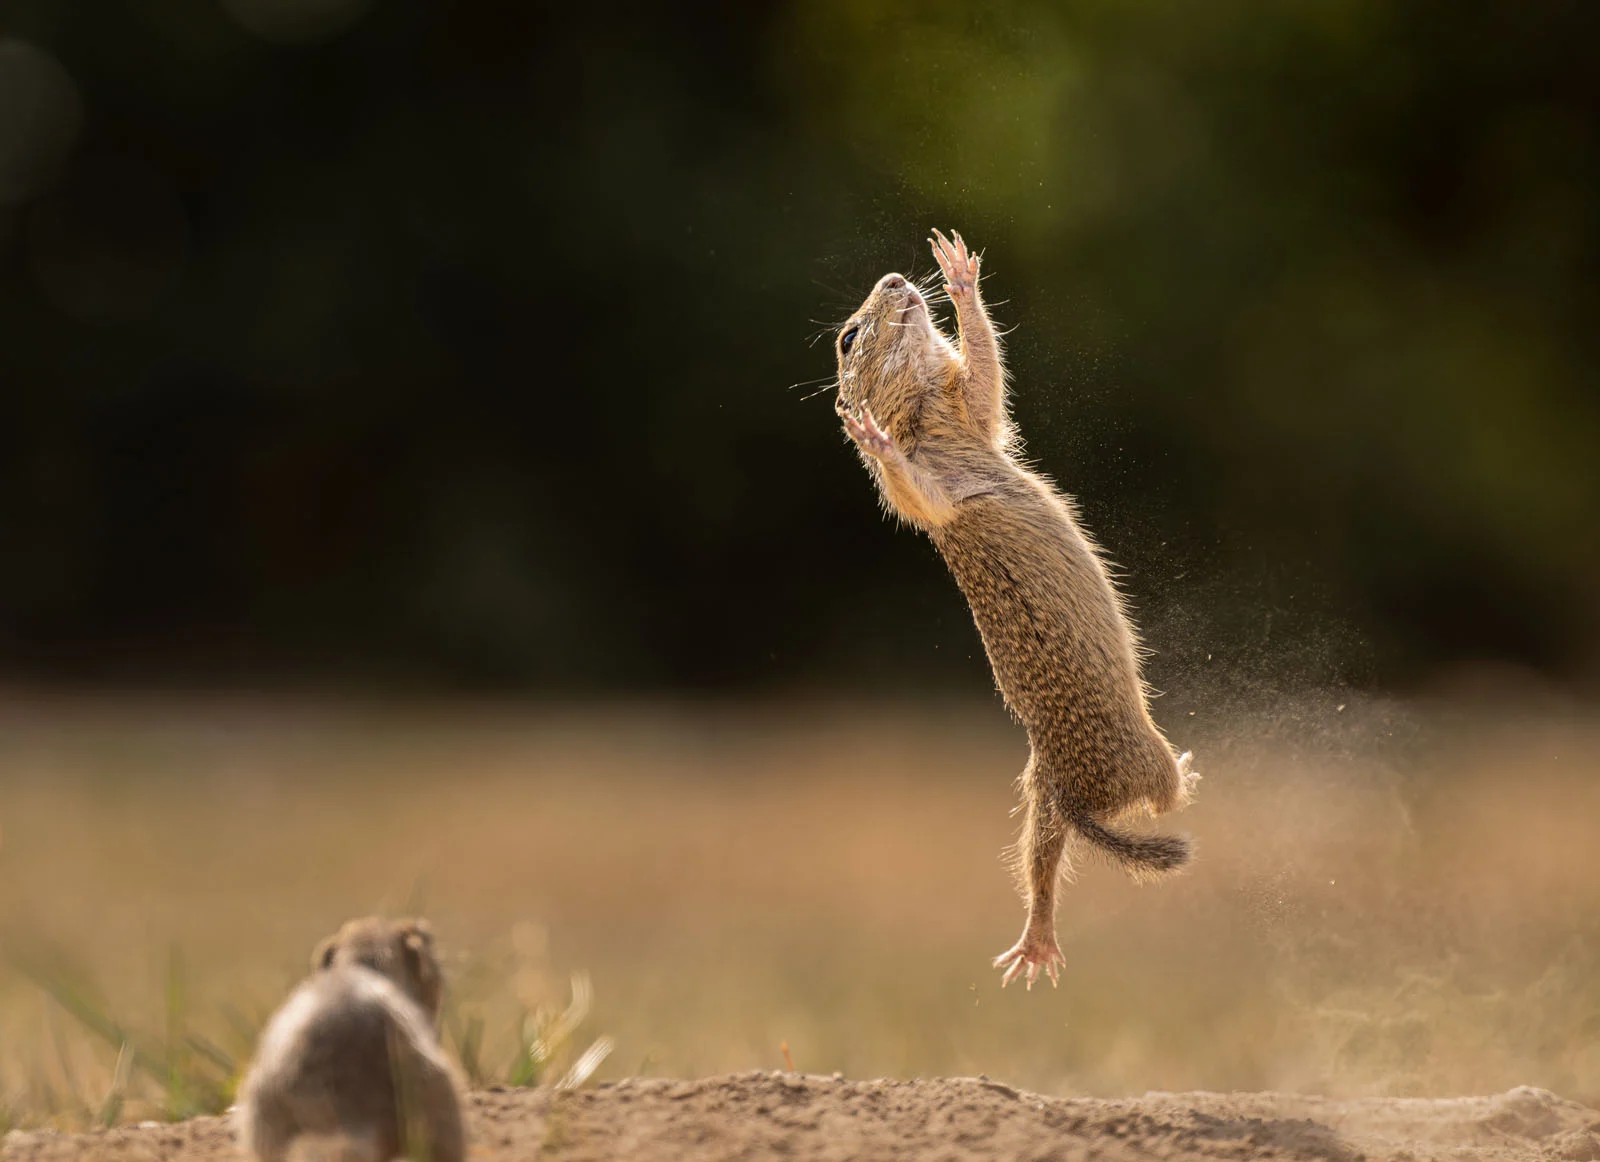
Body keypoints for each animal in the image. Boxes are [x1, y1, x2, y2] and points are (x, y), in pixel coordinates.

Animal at [832, 230, 1196, 992]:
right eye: (849, 337)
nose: (894, 278)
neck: (922, 416)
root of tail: (1078, 798)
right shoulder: (934, 465)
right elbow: (922, 468)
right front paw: (874, 435)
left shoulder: (969, 416)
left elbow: (985, 378)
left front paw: (957, 272)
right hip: (1137, 760)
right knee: (1164, 799)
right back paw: (1185, 771)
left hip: (1037, 802)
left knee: (1041, 863)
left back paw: (1035, 946)